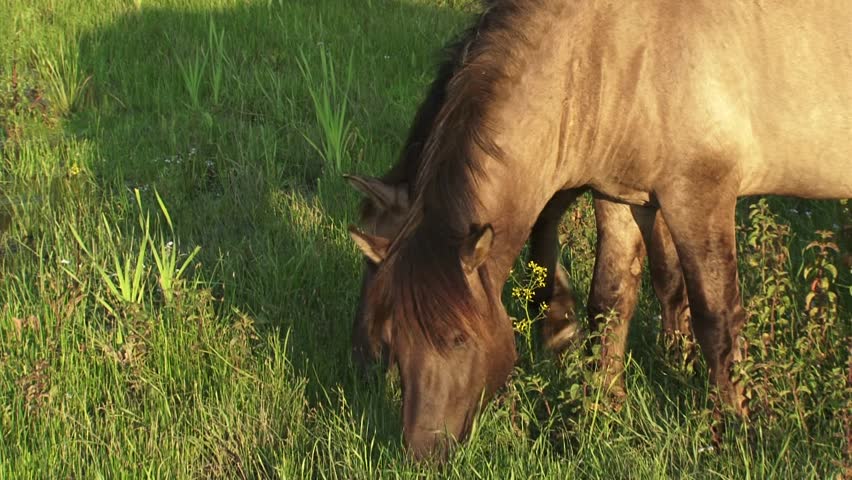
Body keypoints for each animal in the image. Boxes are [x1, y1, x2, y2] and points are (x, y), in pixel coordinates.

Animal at [349, 0, 852, 459]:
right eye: (396, 340)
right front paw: (603, 410)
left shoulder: (700, 197)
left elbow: (717, 321)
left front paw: (733, 430)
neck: (613, 49)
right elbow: (611, 304)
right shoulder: (623, 198)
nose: (422, 452)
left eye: (457, 339)